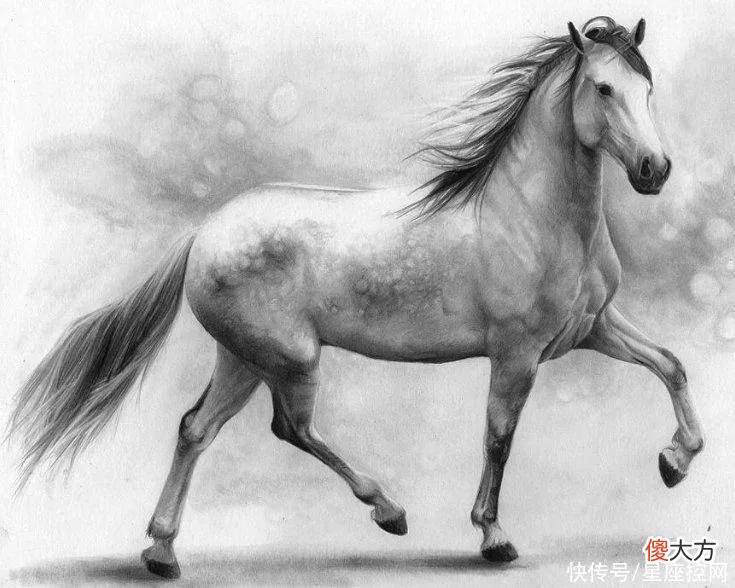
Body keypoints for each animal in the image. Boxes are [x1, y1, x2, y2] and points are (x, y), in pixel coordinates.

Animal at [10, 16, 704, 579]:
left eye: (647, 87)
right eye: (603, 88)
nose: (655, 170)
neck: (532, 216)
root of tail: (205, 232)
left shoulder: (593, 328)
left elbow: (671, 364)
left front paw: (675, 462)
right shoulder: (517, 352)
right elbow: (499, 437)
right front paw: (493, 538)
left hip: (243, 358)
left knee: (195, 429)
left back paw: (161, 552)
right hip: (289, 358)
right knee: (290, 426)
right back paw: (389, 511)